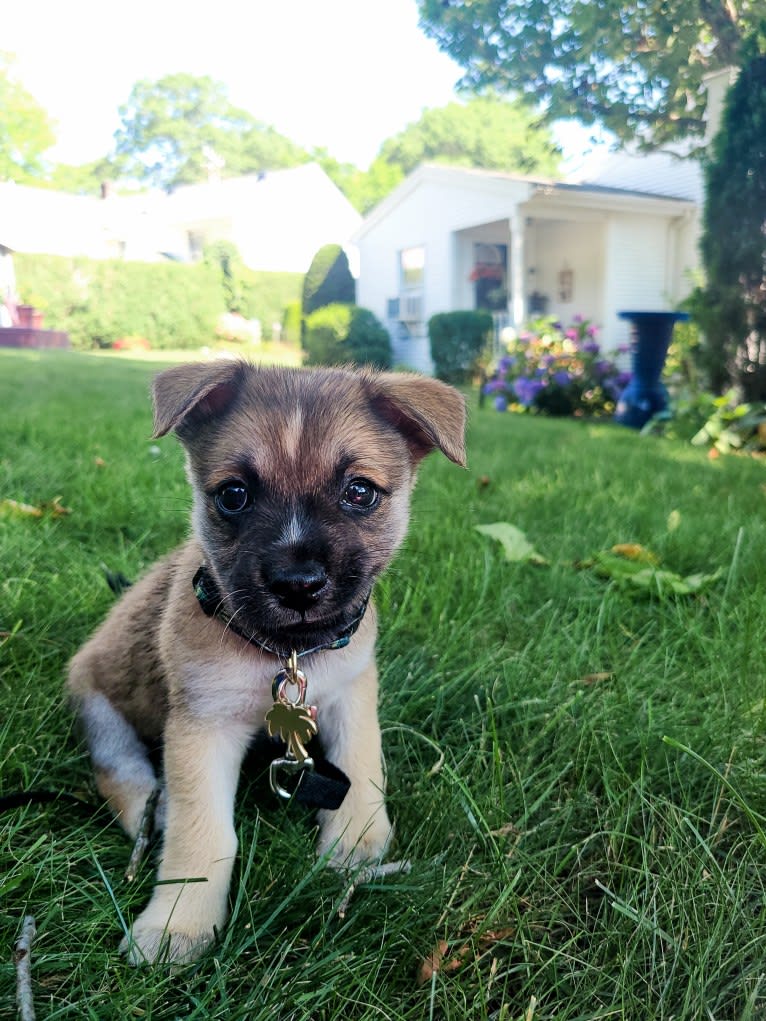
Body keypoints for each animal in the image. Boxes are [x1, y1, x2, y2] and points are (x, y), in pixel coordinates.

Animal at [67, 361, 467, 963]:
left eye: (360, 492)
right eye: (233, 494)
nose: (298, 584)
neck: (286, 653)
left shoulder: (351, 694)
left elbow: (363, 766)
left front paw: (357, 844)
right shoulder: (202, 727)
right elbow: (204, 832)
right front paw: (179, 923)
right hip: (103, 717)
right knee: (122, 777)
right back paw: (151, 814)